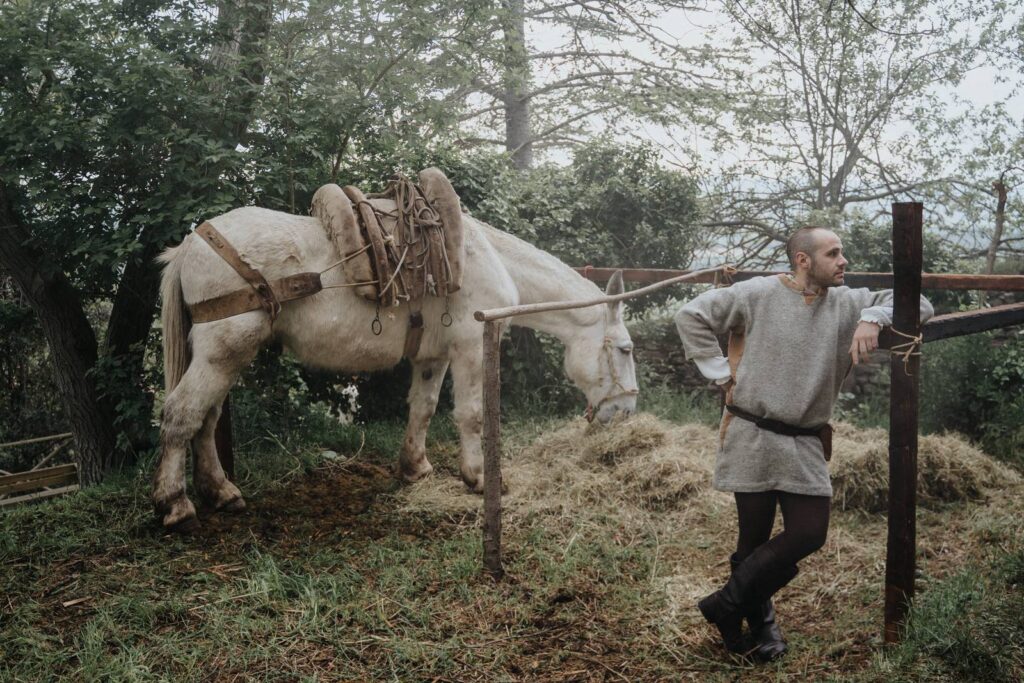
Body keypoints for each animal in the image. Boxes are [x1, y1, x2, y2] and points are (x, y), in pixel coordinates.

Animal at [154, 205, 634, 532]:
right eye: (627, 350)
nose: (626, 412)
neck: (484, 258)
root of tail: (192, 243)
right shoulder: (471, 349)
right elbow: (471, 416)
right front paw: (478, 478)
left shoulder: (433, 357)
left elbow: (422, 408)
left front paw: (414, 467)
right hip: (222, 355)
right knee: (181, 415)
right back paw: (175, 504)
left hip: (224, 359)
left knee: (206, 419)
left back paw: (220, 492)